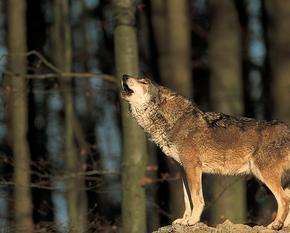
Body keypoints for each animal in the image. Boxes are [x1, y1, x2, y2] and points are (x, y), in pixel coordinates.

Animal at [119, 74, 290, 229]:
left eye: (144, 82)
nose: (124, 76)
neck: (174, 122)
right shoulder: (183, 170)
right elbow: (187, 199)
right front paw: (184, 220)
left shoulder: (193, 167)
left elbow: (196, 198)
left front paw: (193, 221)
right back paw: (285, 225)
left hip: (264, 176)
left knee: (284, 199)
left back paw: (275, 225)